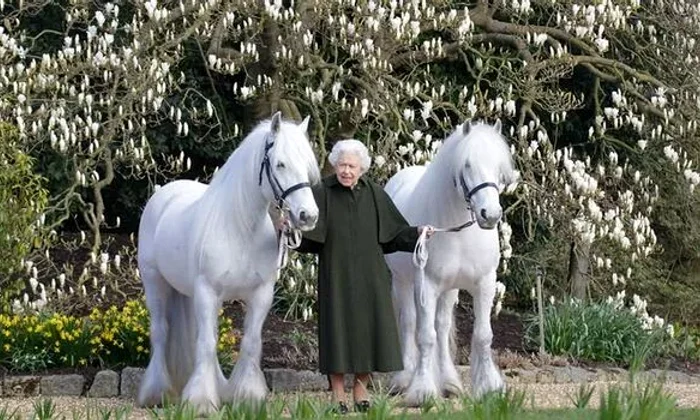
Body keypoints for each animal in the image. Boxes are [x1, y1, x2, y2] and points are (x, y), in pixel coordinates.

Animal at [136, 111, 320, 413]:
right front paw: (200, 401)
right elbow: (207, 344)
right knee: (161, 333)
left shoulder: (260, 295)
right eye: (280, 164)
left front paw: (247, 396)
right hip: (156, 284)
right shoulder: (208, 292)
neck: (240, 228)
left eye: (307, 166)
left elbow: (250, 343)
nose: (308, 216)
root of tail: (165, 193)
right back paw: (156, 393)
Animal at [384, 120, 516, 406]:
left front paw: (489, 388)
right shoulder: (426, 285)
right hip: (403, 282)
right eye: (467, 165)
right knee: (409, 323)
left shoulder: (485, 283)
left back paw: (449, 383)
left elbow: (482, 335)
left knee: (442, 328)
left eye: (499, 166)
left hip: (449, 290)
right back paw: (404, 379)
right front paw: (422, 391)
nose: (490, 215)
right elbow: (425, 336)